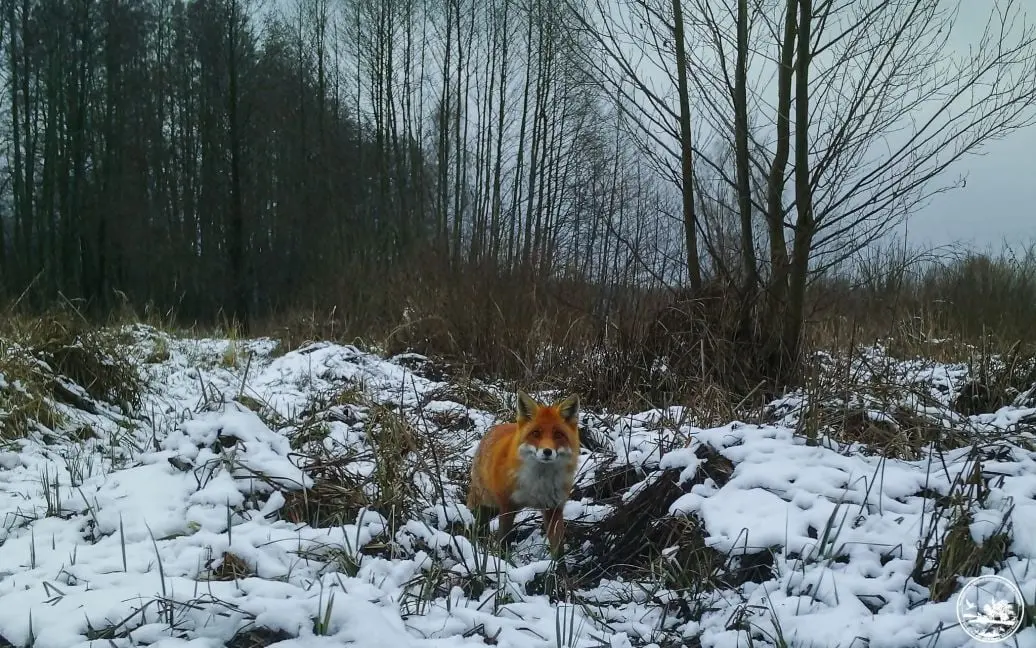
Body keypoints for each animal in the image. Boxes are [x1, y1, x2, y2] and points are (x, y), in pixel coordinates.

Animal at [466, 389, 580, 555]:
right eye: (536, 433)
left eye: (558, 434)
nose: (547, 451)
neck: (539, 482)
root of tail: (496, 427)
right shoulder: (507, 505)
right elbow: (502, 539)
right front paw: (501, 559)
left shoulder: (554, 508)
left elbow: (558, 550)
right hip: (485, 500)